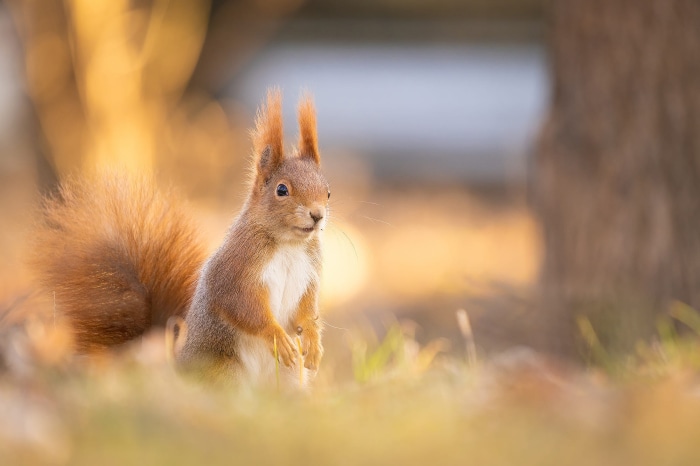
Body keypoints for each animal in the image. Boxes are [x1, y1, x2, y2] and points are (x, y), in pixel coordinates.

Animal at [30, 89, 329, 388]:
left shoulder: (309, 274)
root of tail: (177, 367)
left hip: (288, 379)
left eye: (327, 191)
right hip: (226, 371)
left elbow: (307, 309)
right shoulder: (234, 270)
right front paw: (277, 336)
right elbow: (242, 307)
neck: (289, 244)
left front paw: (313, 343)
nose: (317, 215)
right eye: (282, 190)